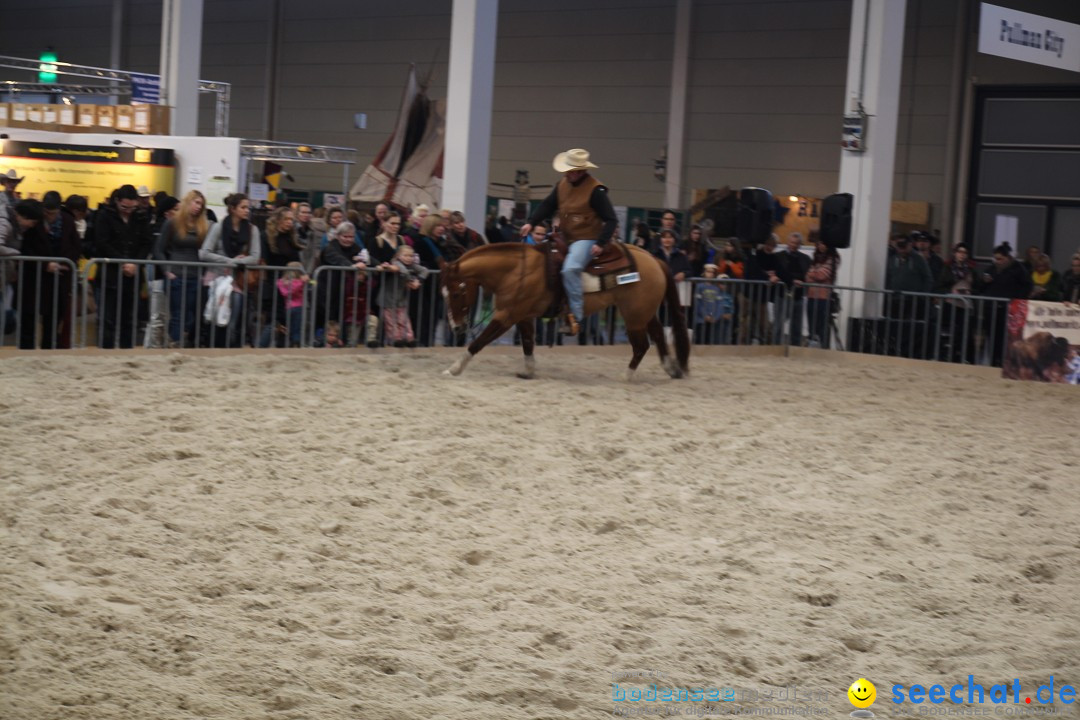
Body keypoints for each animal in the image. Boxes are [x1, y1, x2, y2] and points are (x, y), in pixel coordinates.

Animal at [438, 245, 691, 382]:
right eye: (443, 294)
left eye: (457, 293)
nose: (457, 327)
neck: (516, 271)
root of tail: (655, 260)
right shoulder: (523, 316)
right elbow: (527, 343)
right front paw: (528, 371)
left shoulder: (506, 316)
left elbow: (478, 342)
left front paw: (453, 369)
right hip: (644, 313)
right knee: (658, 335)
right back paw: (671, 369)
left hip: (634, 316)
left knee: (641, 346)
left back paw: (626, 376)